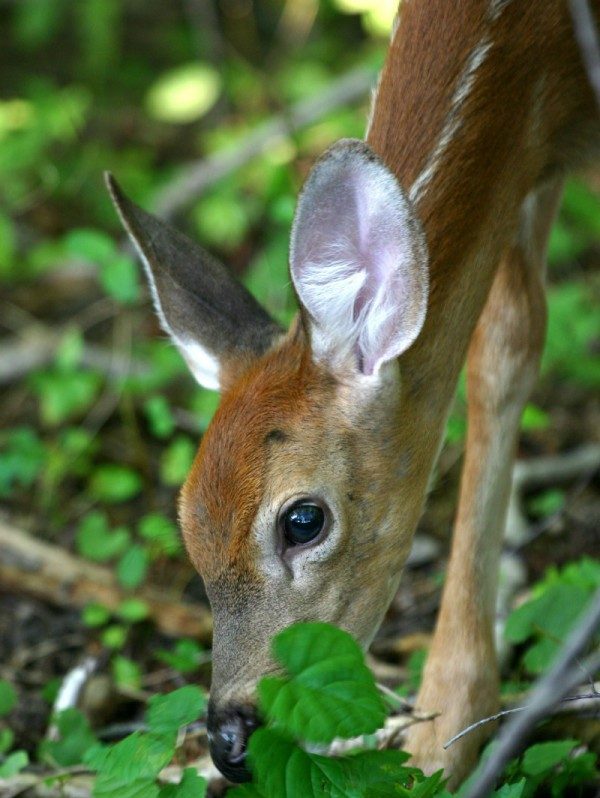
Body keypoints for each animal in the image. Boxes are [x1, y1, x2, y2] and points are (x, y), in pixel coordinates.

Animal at [105, 0, 596, 788]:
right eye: (186, 527)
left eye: (303, 521)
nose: (229, 743)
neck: (535, 42)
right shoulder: (533, 148)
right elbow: (506, 342)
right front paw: (445, 732)